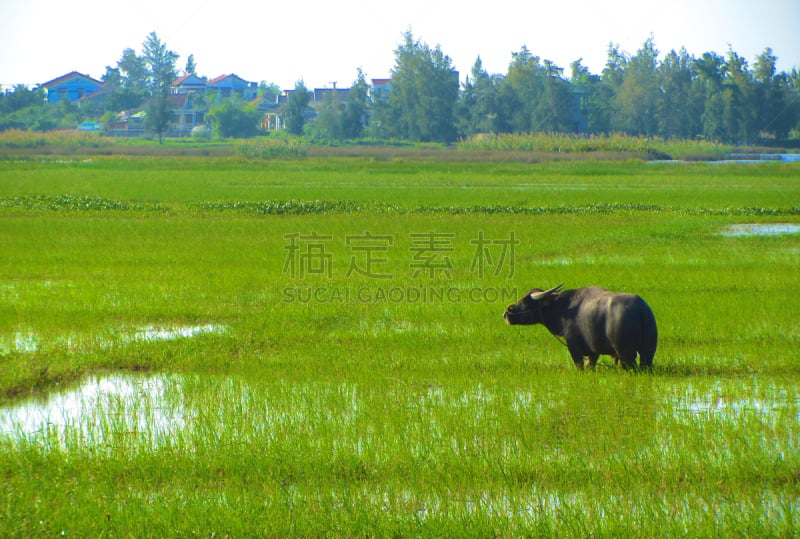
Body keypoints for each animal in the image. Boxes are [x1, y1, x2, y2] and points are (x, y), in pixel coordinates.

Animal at [506, 284, 656, 370]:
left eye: (526, 302)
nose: (507, 313)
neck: (562, 308)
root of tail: (641, 308)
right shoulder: (593, 351)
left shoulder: (573, 346)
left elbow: (579, 365)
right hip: (648, 352)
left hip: (626, 354)